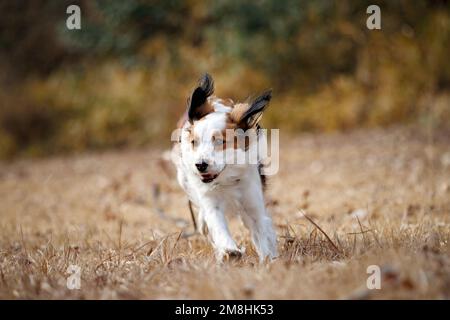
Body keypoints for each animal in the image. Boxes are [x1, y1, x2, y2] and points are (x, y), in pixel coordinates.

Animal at [172, 74, 278, 262]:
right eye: (194, 142)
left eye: (220, 141)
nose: (200, 165)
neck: (227, 179)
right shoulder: (211, 202)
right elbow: (218, 225)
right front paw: (230, 249)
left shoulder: (252, 203)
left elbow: (261, 229)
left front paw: (268, 258)